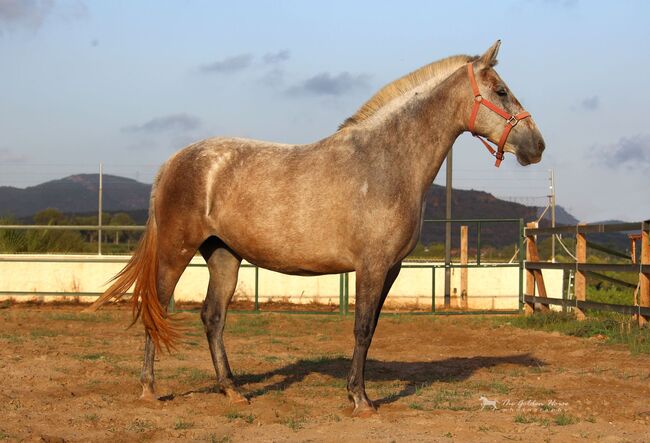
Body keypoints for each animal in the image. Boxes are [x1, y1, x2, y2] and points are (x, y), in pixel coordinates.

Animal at [86, 40, 540, 418]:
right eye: (500, 90)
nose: (537, 145)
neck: (385, 161)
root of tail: (173, 162)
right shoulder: (372, 266)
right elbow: (361, 328)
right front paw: (360, 400)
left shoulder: (390, 268)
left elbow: (371, 329)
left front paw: (359, 394)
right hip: (175, 251)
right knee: (158, 308)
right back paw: (150, 389)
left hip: (224, 256)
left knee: (213, 317)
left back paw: (232, 391)